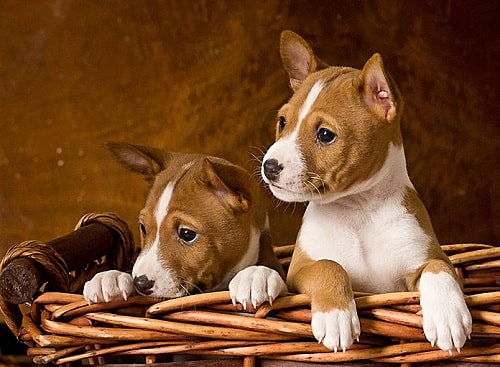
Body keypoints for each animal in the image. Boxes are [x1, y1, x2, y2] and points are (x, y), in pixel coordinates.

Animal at [262, 30, 472, 354]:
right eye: (282, 122)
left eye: (325, 135)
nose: (269, 167)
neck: (359, 211)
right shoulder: (299, 271)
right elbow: (329, 265)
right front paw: (336, 316)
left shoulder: (428, 258)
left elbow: (439, 267)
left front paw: (448, 315)